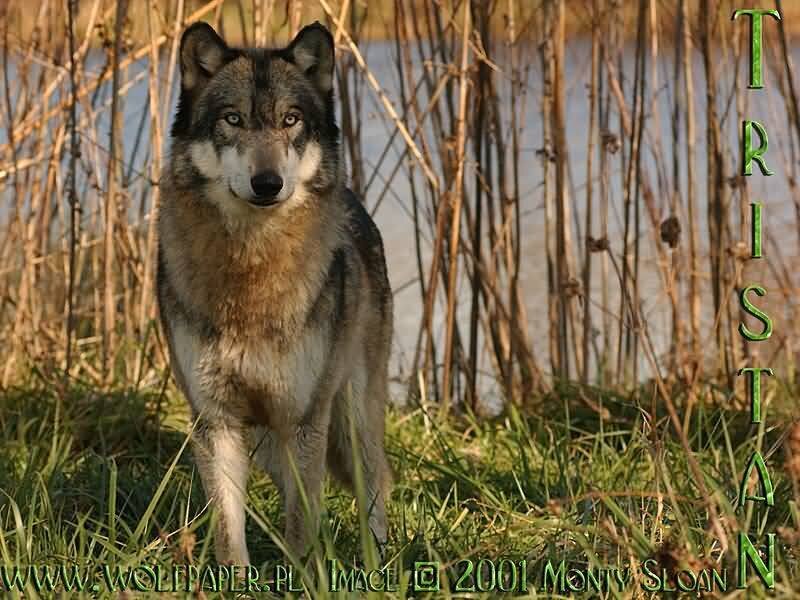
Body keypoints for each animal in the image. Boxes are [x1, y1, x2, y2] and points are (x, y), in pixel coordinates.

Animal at [156, 21, 392, 565]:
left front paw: (305, 575)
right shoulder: (215, 421)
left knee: (376, 482)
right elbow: (230, 531)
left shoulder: (305, 418)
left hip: (348, 415)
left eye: (290, 120)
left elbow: (303, 525)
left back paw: (379, 561)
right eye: (233, 119)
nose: (268, 183)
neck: (250, 272)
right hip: (269, 439)